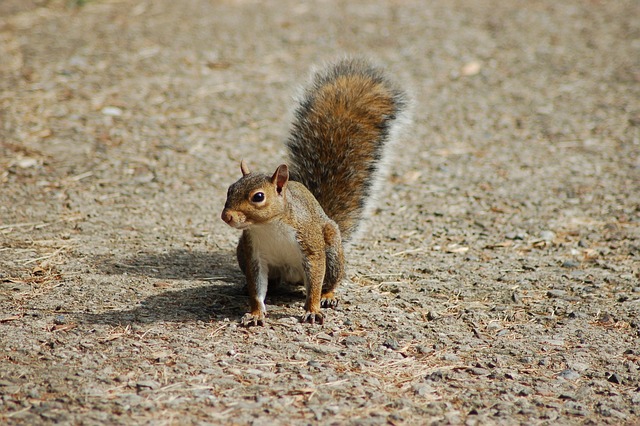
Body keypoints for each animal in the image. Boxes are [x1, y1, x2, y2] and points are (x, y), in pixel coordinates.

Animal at [220, 57, 410, 326]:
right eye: (230, 189)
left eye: (258, 197)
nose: (226, 216)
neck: (269, 226)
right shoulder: (254, 254)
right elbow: (257, 288)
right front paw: (255, 313)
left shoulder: (311, 247)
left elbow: (315, 282)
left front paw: (312, 309)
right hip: (242, 252)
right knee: (271, 284)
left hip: (332, 250)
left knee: (329, 281)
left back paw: (328, 297)